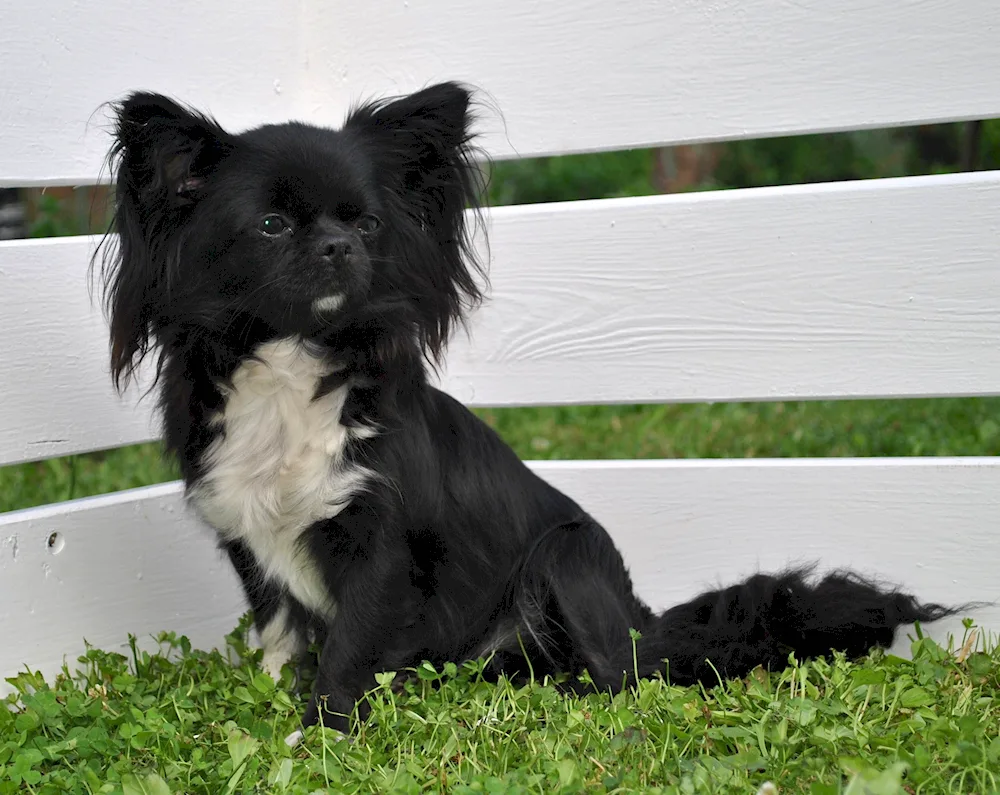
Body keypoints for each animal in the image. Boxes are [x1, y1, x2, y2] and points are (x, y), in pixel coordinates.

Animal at [97, 81, 956, 740]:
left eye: (367, 221)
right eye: (271, 226)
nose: (343, 246)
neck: (293, 367)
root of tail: (644, 621)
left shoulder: (381, 548)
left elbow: (348, 648)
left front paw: (324, 731)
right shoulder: (250, 539)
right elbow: (281, 635)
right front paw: (274, 702)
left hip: (566, 557)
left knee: (619, 675)